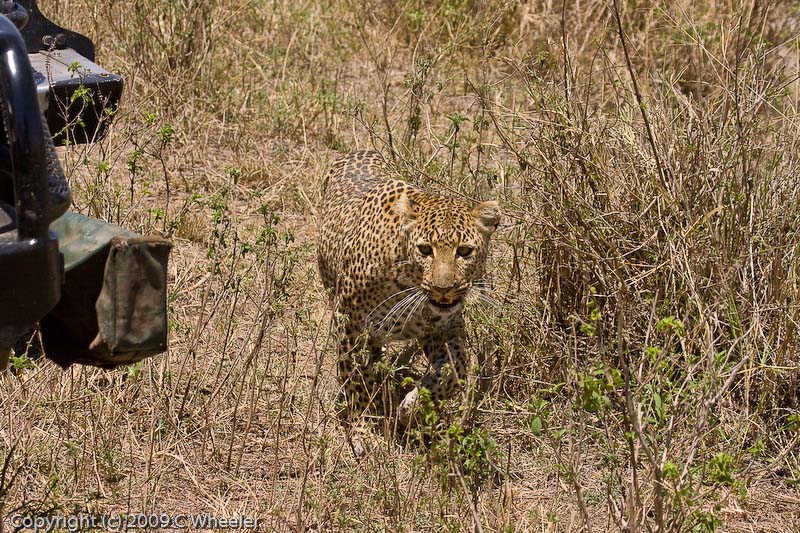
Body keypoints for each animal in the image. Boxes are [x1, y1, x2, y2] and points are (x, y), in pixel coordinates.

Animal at [318, 149, 500, 428]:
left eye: (464, 251)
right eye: (425, 249)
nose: (443, 288)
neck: (405, 283)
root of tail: (361, 150)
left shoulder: (445, 328)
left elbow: (455, 368)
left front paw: (412, 407)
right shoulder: (350, 325)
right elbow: (355, 378)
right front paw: (363, 425)